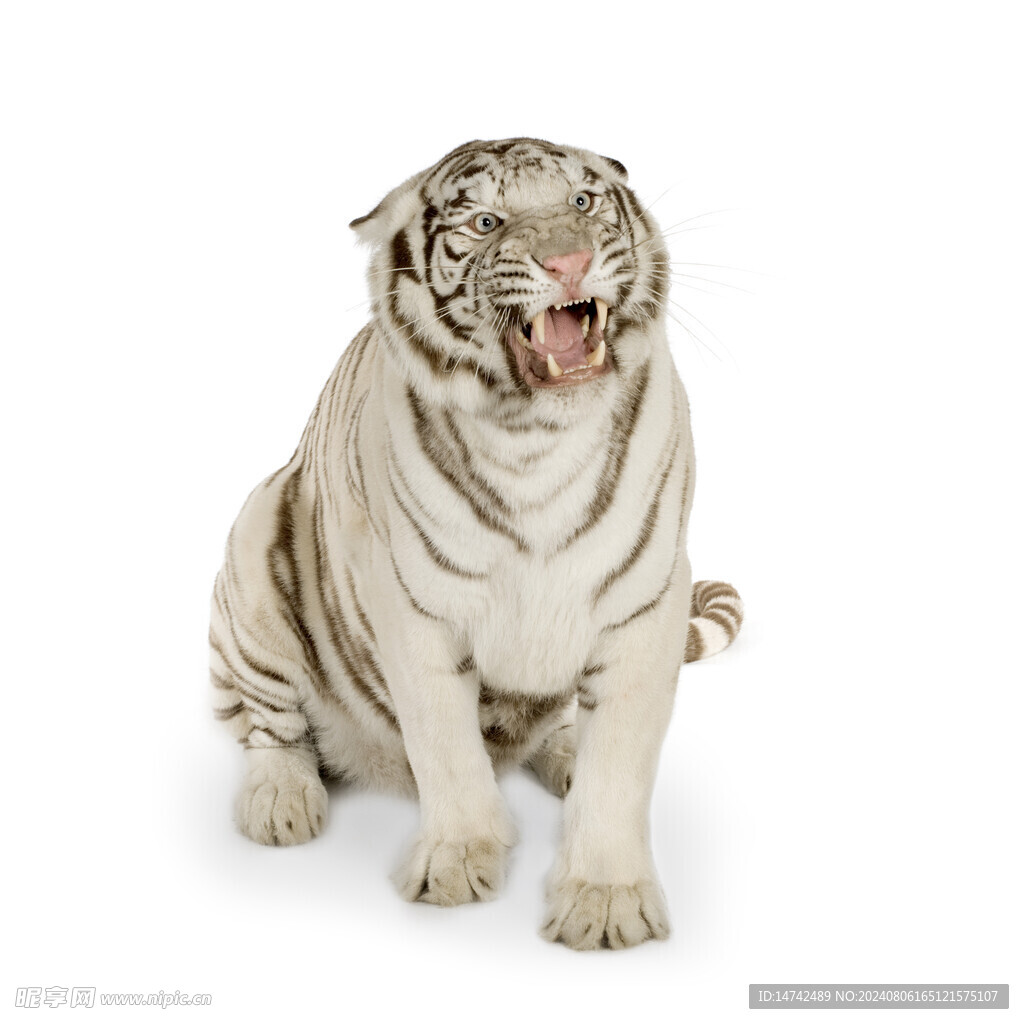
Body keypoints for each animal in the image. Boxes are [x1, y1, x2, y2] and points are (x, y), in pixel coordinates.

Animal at [209, 137, 743, 951]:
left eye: (582, 201)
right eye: (487, 222)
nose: (569, 262)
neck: (537, 437)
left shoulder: (646, 604)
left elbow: (619, 767)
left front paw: (605, 904)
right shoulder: (413, 606)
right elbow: (445, 747)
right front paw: (458, 862)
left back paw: (564, 755)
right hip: (253, 543)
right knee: (273, 727)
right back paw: (281, 803)